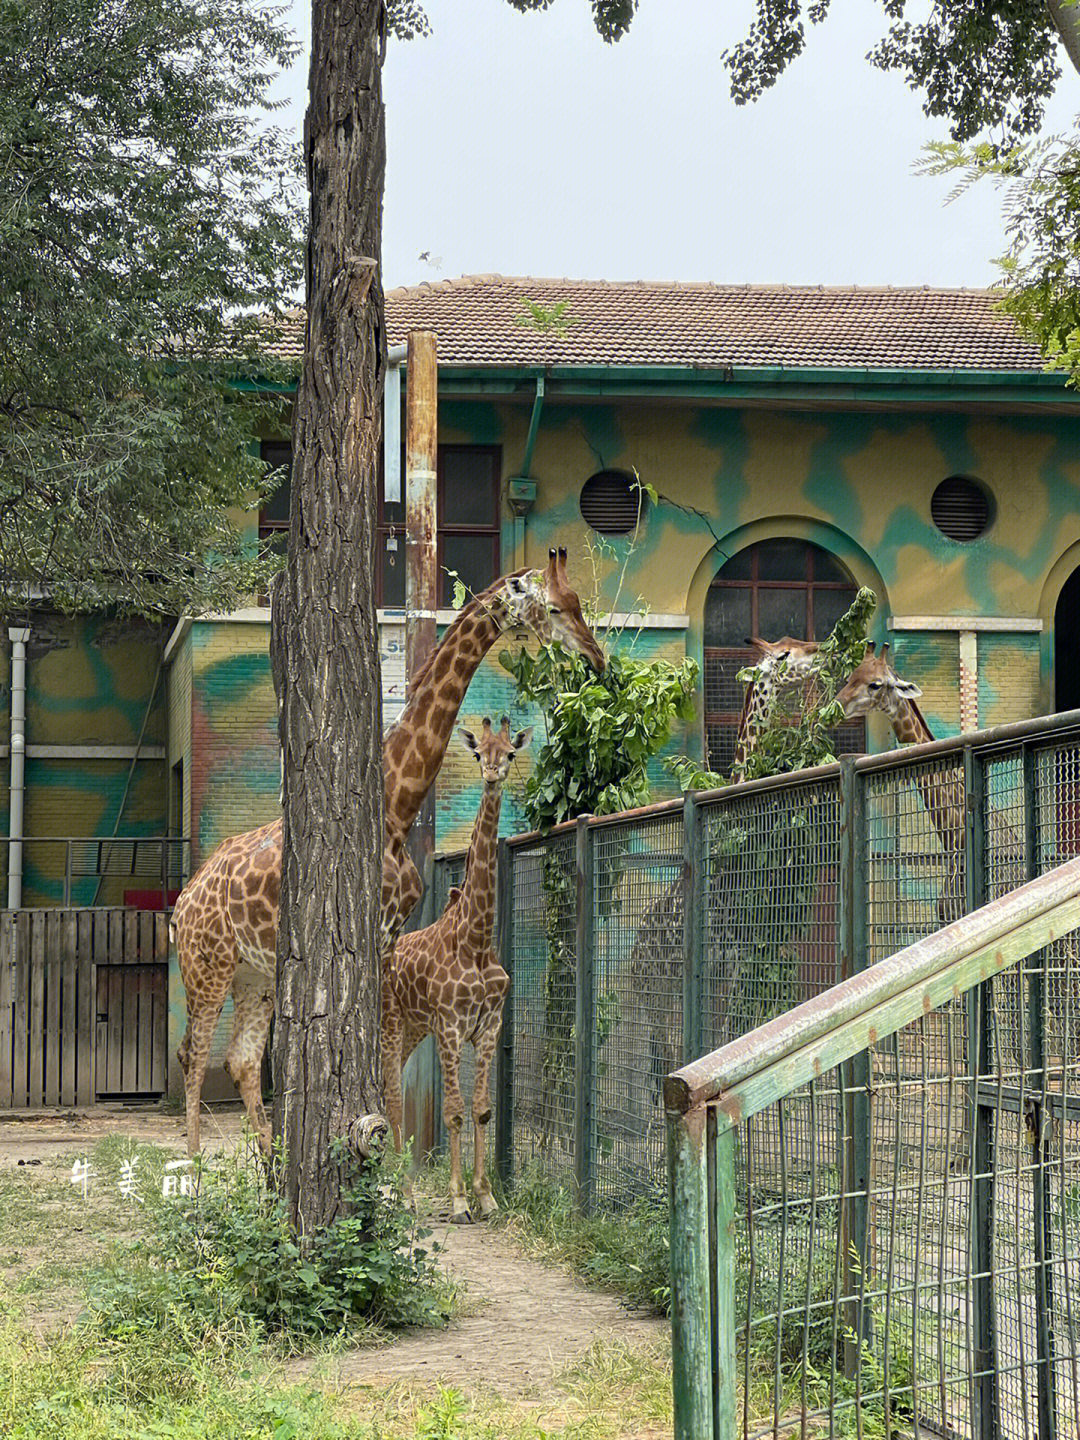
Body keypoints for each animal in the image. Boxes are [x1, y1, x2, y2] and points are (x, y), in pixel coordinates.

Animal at [173, 544, 604, 1152]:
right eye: (559, 608)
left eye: (580, 602)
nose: (598, 660)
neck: (397, 807)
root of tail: (181, 904)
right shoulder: (370, 932)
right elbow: (380, 1053)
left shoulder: (390, 935)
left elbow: (382, 1056)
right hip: (205, 965)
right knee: (192, 1056)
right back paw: (192, 1166)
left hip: (251, 975)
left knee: (239, 1059)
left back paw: (267, 1165)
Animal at [385, 714, 532, 1221]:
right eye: (477, 752)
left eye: (510, 752)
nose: (491, 774)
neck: (477, 940)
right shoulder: (450, 1024)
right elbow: (452, 1109)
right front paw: (458, 1200)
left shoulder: (488, 1024)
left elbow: (482, 1108)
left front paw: (486, 1196)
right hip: (392, 1025)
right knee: (392, 1097)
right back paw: (406, 1195)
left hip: (414, 1029)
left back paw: (405, 1189)